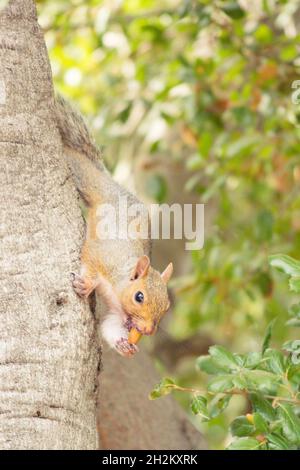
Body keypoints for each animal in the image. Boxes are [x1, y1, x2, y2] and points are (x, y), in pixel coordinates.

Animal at [54, 97, 172, 358]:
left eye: (167, 305)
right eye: (139, 297)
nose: (148, 330)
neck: (119, 284)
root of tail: (110, 181)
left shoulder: (118, 313)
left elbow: (110, 324)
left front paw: (124, 344)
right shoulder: (102, 255)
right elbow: (88, 262)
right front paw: (85, 284)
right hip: (87, 178)